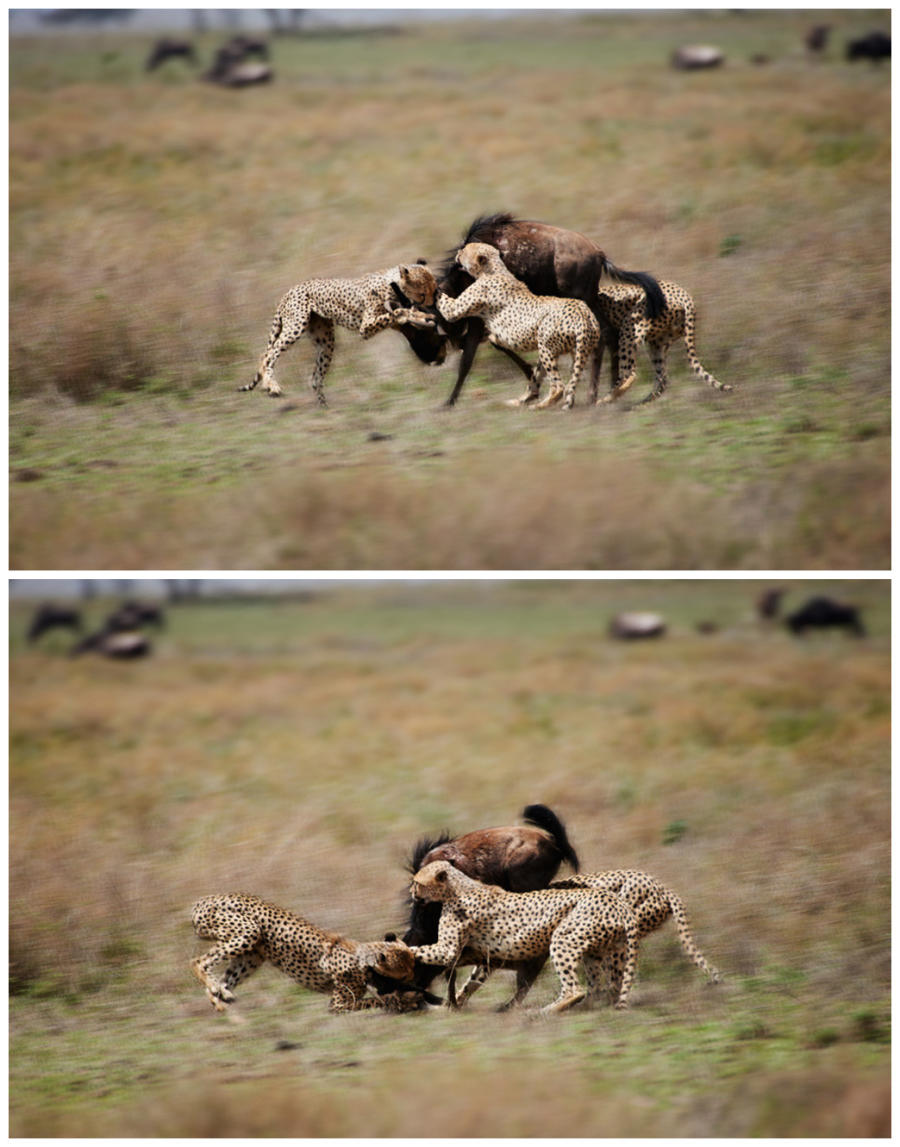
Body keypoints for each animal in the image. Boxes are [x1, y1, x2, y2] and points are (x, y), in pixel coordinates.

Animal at [190, 894, 421, 1013]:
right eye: (405, 973)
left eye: (413, 967)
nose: (416, 979)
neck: (365, 958)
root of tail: (203, 899)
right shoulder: (338, 1004)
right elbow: (376, 1001)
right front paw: (405, 1000)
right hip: (248, 932)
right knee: (197, 961)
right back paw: (216, 989)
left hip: (252, 956)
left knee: (221, 982)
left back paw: (222, 996)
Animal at [244, 262, 440, 406]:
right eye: (423, 293)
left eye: (435, 289)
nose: (432, 304)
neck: (393, 283)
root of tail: (289, 291)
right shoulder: (366, 327)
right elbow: (396, 313)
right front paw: (414, 315)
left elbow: (402, 316)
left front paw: (423, 318)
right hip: (296, 327)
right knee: (268, 354)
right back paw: (271, 386)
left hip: (325, 341)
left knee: (314, 378)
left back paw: (325, 410)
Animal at [408, 862, 637, 1013]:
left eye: (417, 882)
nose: (411, 891)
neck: (457, 886)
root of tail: (617, 901)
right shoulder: (487, 956)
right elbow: (471, 981)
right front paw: (451, 1003)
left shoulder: (448, 949)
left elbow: (425, 951)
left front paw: (400, 950)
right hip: (603, 949)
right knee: (608, 985)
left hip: (563, 939)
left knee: (575, 989)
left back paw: (545, 1011)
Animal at [435, 239, 596, 410]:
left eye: (466, 249)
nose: (458, 252)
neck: (495, 268)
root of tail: (583, 314)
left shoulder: (455, 310)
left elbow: (444, 301)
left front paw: (427, 281)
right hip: (567, 351)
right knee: (562, 381)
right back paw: (521, 400)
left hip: (546, 347)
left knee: (559, 386)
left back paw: (538, 406)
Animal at [591, 279, 733, 406]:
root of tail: (683, 294)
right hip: (657, 343)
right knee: (662, 380)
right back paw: (638, 403)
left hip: (630, 326)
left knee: (631, 374)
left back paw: (604, 400)